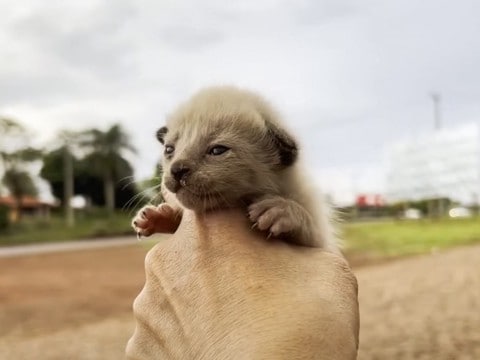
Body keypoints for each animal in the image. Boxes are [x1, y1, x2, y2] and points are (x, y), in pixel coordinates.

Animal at [131, 86, 338, 252]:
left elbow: (311, 227)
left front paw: (281, 211)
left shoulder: (324, 246)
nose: (177, 170)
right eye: (169, 149)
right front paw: (156, 217)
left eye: (217, 150)